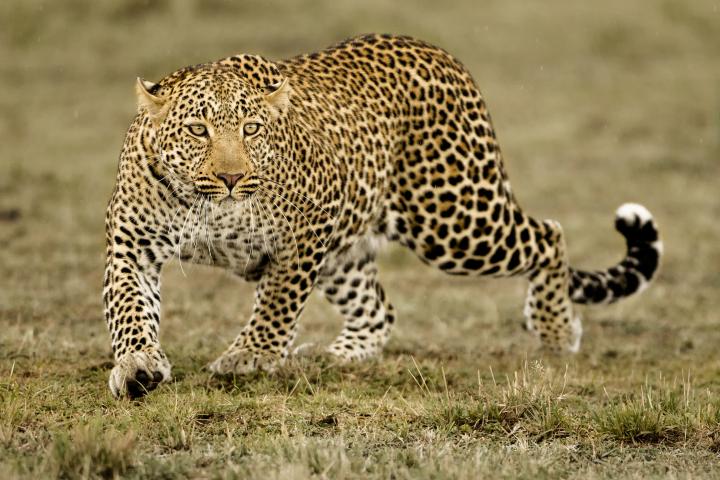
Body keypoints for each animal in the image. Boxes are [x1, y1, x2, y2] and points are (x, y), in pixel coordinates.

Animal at [104, 34, 662, 399]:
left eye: (252, 129)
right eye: (197, 130)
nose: (231, 178)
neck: (209, 208)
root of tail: (439, 53)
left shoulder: (308, 229)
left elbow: (278, 302)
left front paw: (251, 356)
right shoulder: (131, 244)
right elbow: (129, 309)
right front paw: (137, 366)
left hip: (455, 219)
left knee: (549, 235)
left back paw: (555, 330)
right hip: (352, 251)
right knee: (378, 309)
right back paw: (335, 355)